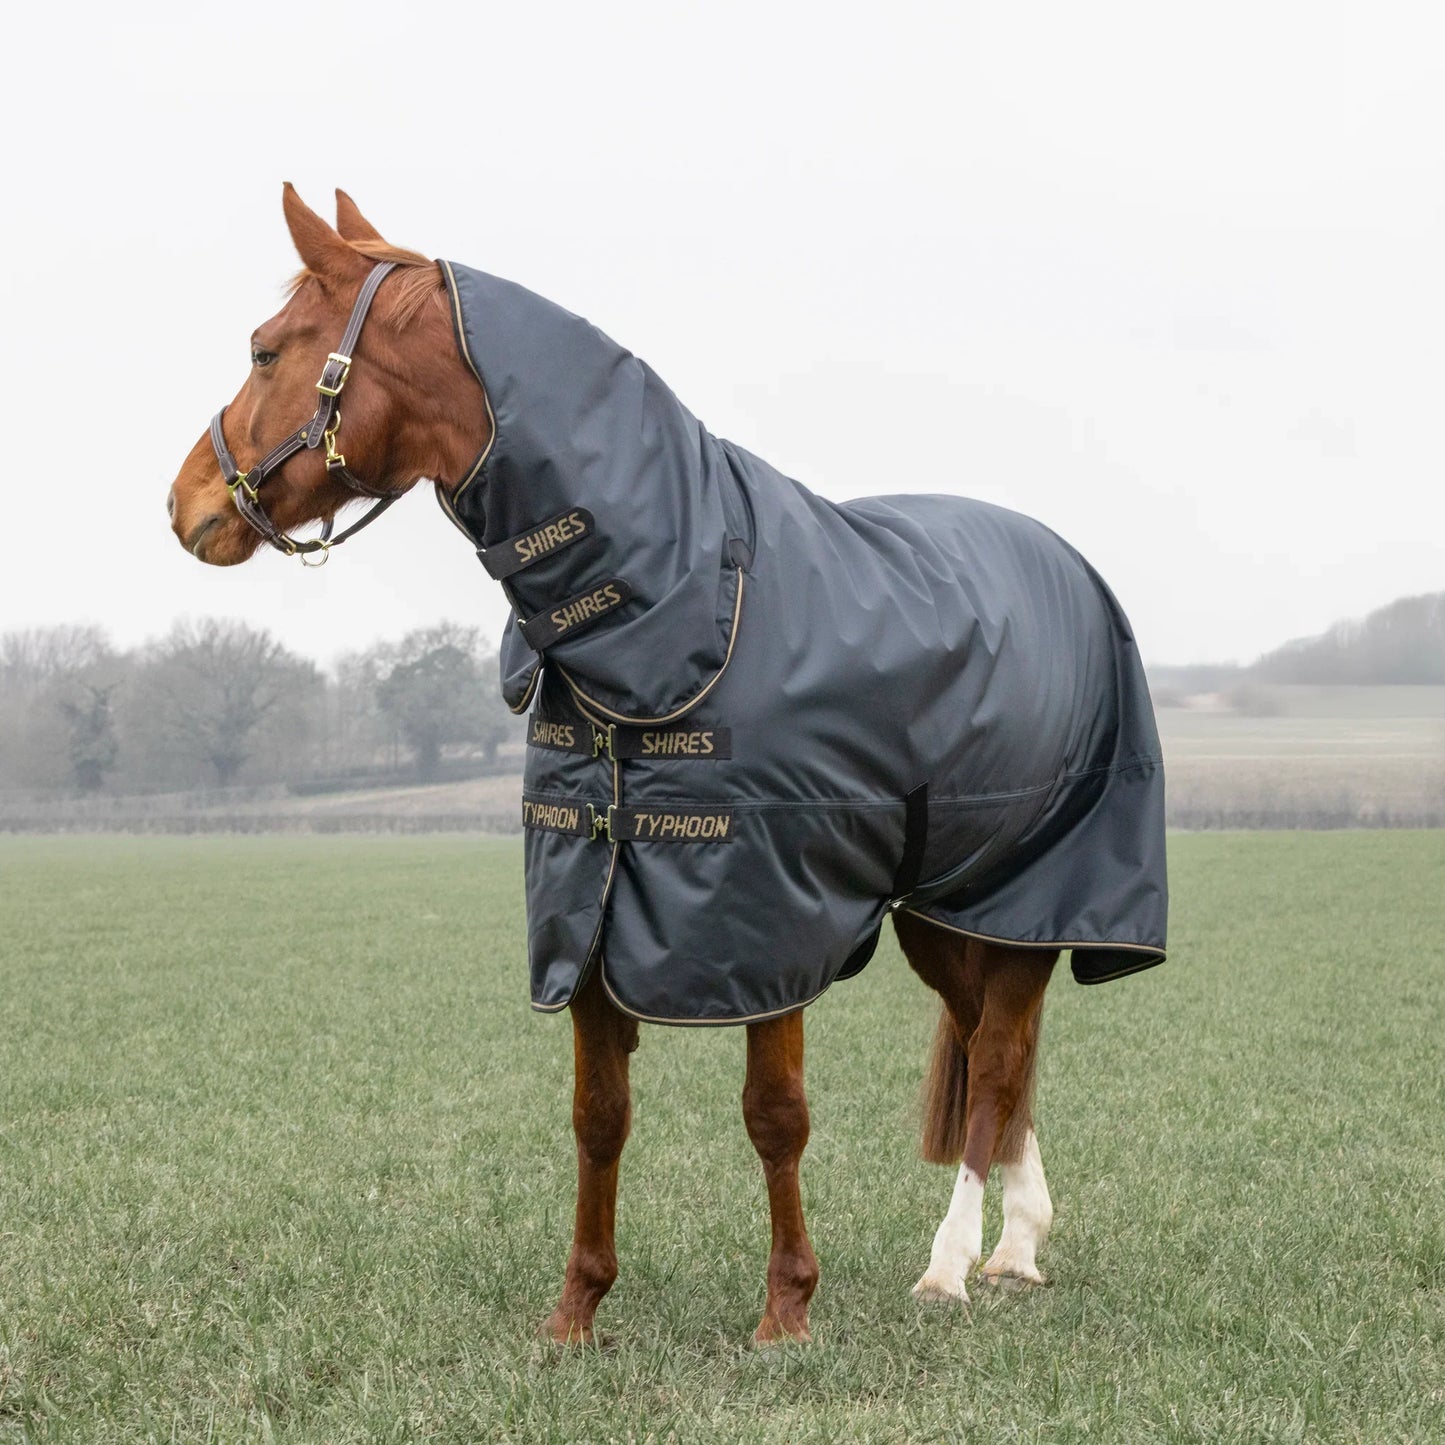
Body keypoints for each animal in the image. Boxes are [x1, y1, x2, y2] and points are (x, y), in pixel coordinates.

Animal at [166, 185, 1167, 1344]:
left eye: (266, 347)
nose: (183, 505)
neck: (673, 604)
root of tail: (1064, 560)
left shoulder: (764, 917)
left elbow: (773, 1116)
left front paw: (784, 1311)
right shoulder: (589, 909)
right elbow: (597, 1115)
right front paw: (575, 1312)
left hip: (1027, 892)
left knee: (999, 1058)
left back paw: (955, 1263)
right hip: (949, 903)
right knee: (989, 1052)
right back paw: (1017, 1243)